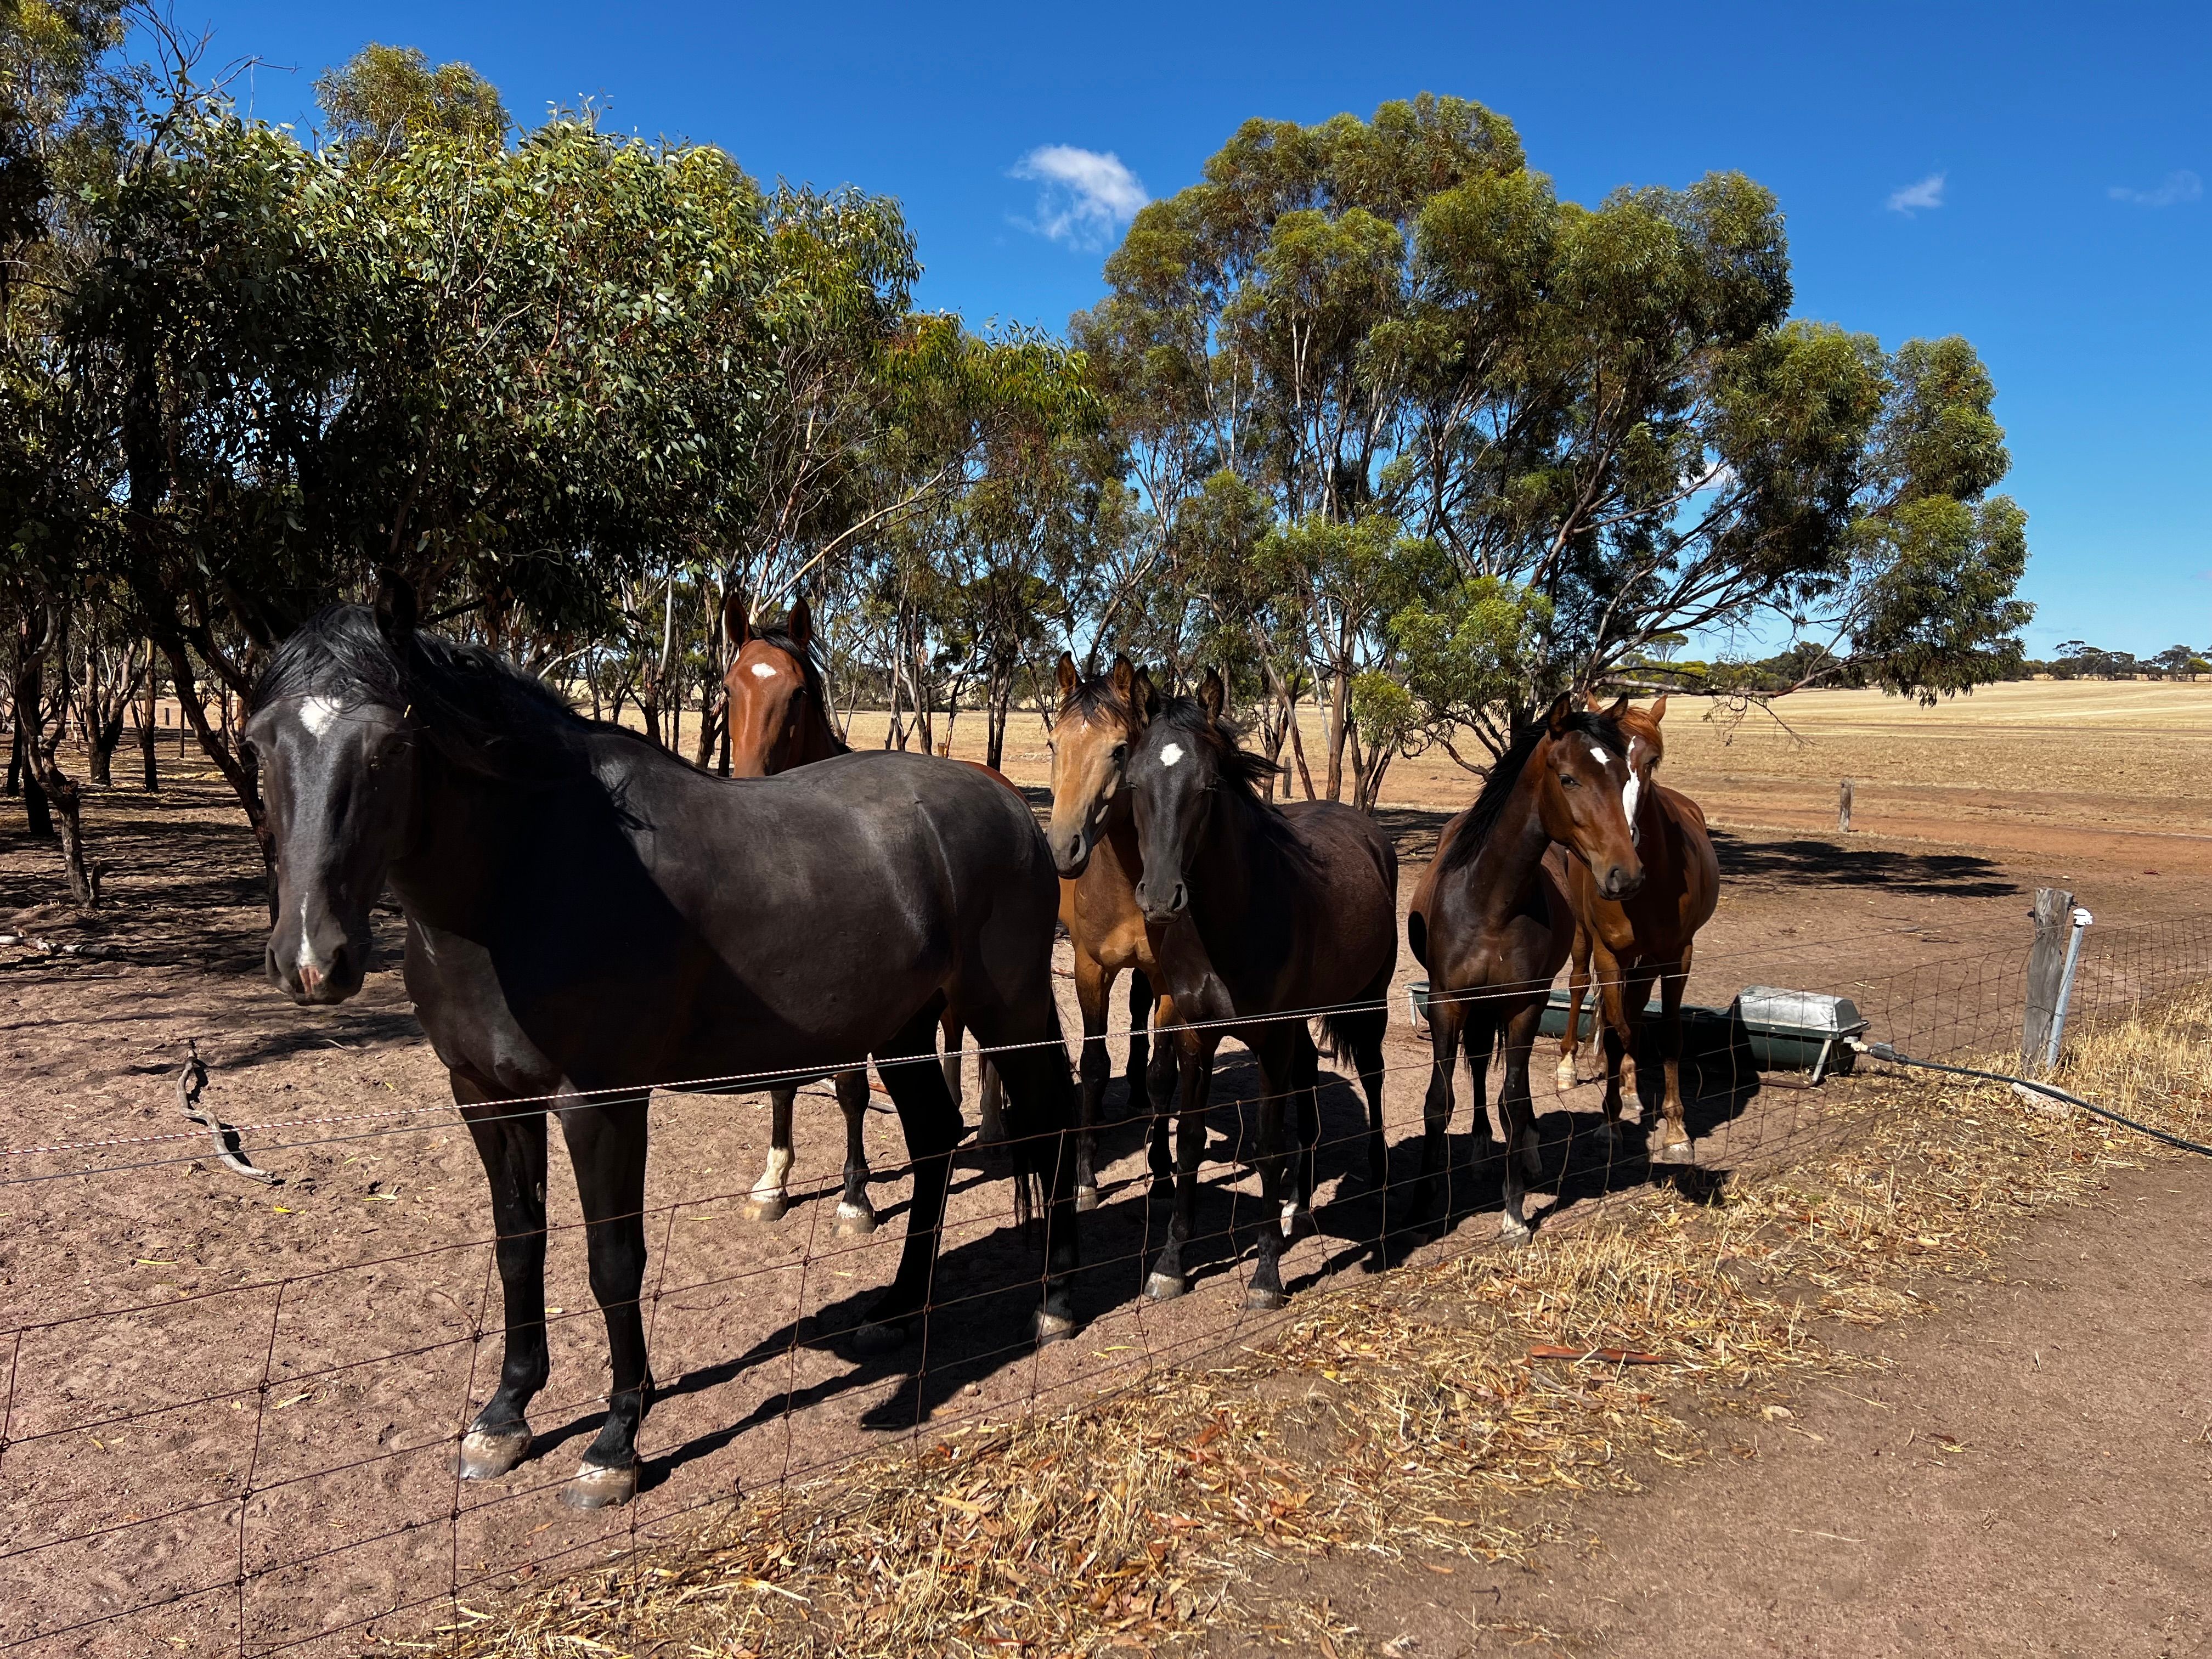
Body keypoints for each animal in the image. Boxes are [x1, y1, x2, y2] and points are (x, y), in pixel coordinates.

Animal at [719, 591, 1004, 1235]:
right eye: (727, 688)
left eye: (799, 693)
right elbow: (782, 1085)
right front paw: (773, 1182)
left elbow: (850, 1089)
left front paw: (855, 1197)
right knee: (954, 1033)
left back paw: (994, 1127)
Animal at [1124, 669, 1398, 1310]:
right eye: (1133, 781)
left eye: (1207, 785)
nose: (1161, 898)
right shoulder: (1196, 1036)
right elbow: (1191, 1140)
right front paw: (1170, 1264)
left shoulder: (1269, 1040)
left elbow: (1269, 1144)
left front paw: (1268, 1273)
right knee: (1309, 1082)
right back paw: (1299, 1202)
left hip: (1368, 1003)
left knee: (1372, 1077)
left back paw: (1377, 1176)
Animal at [1404, 695, 1644, 1239]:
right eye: (1570, 778)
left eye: (1624, 777)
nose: (1626, 875)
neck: (1490, 901)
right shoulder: (1446, 1002)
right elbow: (1438, 1100)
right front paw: (1422, 1205)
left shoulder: (1524, 1004)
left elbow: (1512, 1097)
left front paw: (1514, 1212)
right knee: (1476, 1066)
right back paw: (1477, 1146)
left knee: (1512, 1087)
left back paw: (1528, 1149)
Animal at [1551, 693, 1720, 1161]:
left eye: (1652, 761)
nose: (1622, 847)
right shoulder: (1609, 953)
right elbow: (1612, 1031)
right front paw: (1608, 1125)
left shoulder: (1679, 955)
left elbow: (1667, 1035)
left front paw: (1677, 1130)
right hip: (1584, 940)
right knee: (1579, 987)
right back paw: (1568, 1067)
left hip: (1646, 960)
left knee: (1636, 1010)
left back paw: (1629, 1088)